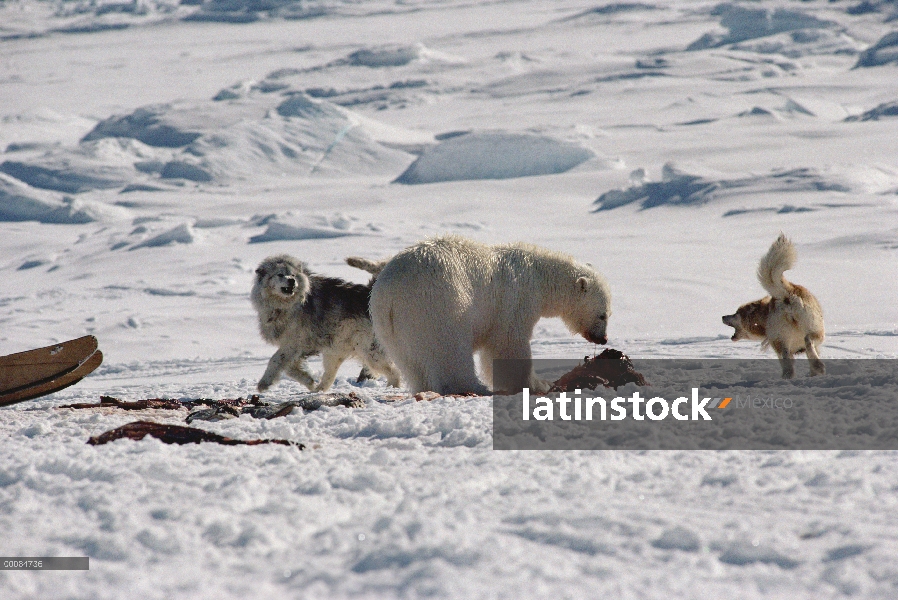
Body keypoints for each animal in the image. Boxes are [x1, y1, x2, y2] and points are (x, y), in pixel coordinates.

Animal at [248, 254, 396, 392]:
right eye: (280, 274)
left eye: (293, 274)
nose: (291, 280)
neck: (286, 306)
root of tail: (368, 295)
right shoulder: (297, 348)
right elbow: (290, 368)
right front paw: (309, 381)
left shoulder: (293, 343)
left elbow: (275, 360)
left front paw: (264, 383)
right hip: (334, 352)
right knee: (329, 377)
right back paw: (317, 391)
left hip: (368, 352)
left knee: (394, 371)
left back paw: (393, 388)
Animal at [368, 237, 612, 396]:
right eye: (602, 315)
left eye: (608, 313)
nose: (603, 339)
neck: (539, 277)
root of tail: (389, 293)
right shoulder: (515, 300)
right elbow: (509, 344)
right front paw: (537, 384)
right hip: (437, 304)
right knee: (449, 350)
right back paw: (473, 387)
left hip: (389, 327)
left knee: (410, 362)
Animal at [724, 233, 824, 378]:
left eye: (736, 313)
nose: (722, 316)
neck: (764, 316)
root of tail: (787, 294)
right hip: (814, 330)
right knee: (808, 342)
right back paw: (818, 366)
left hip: (780, 341)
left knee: (789, 364)